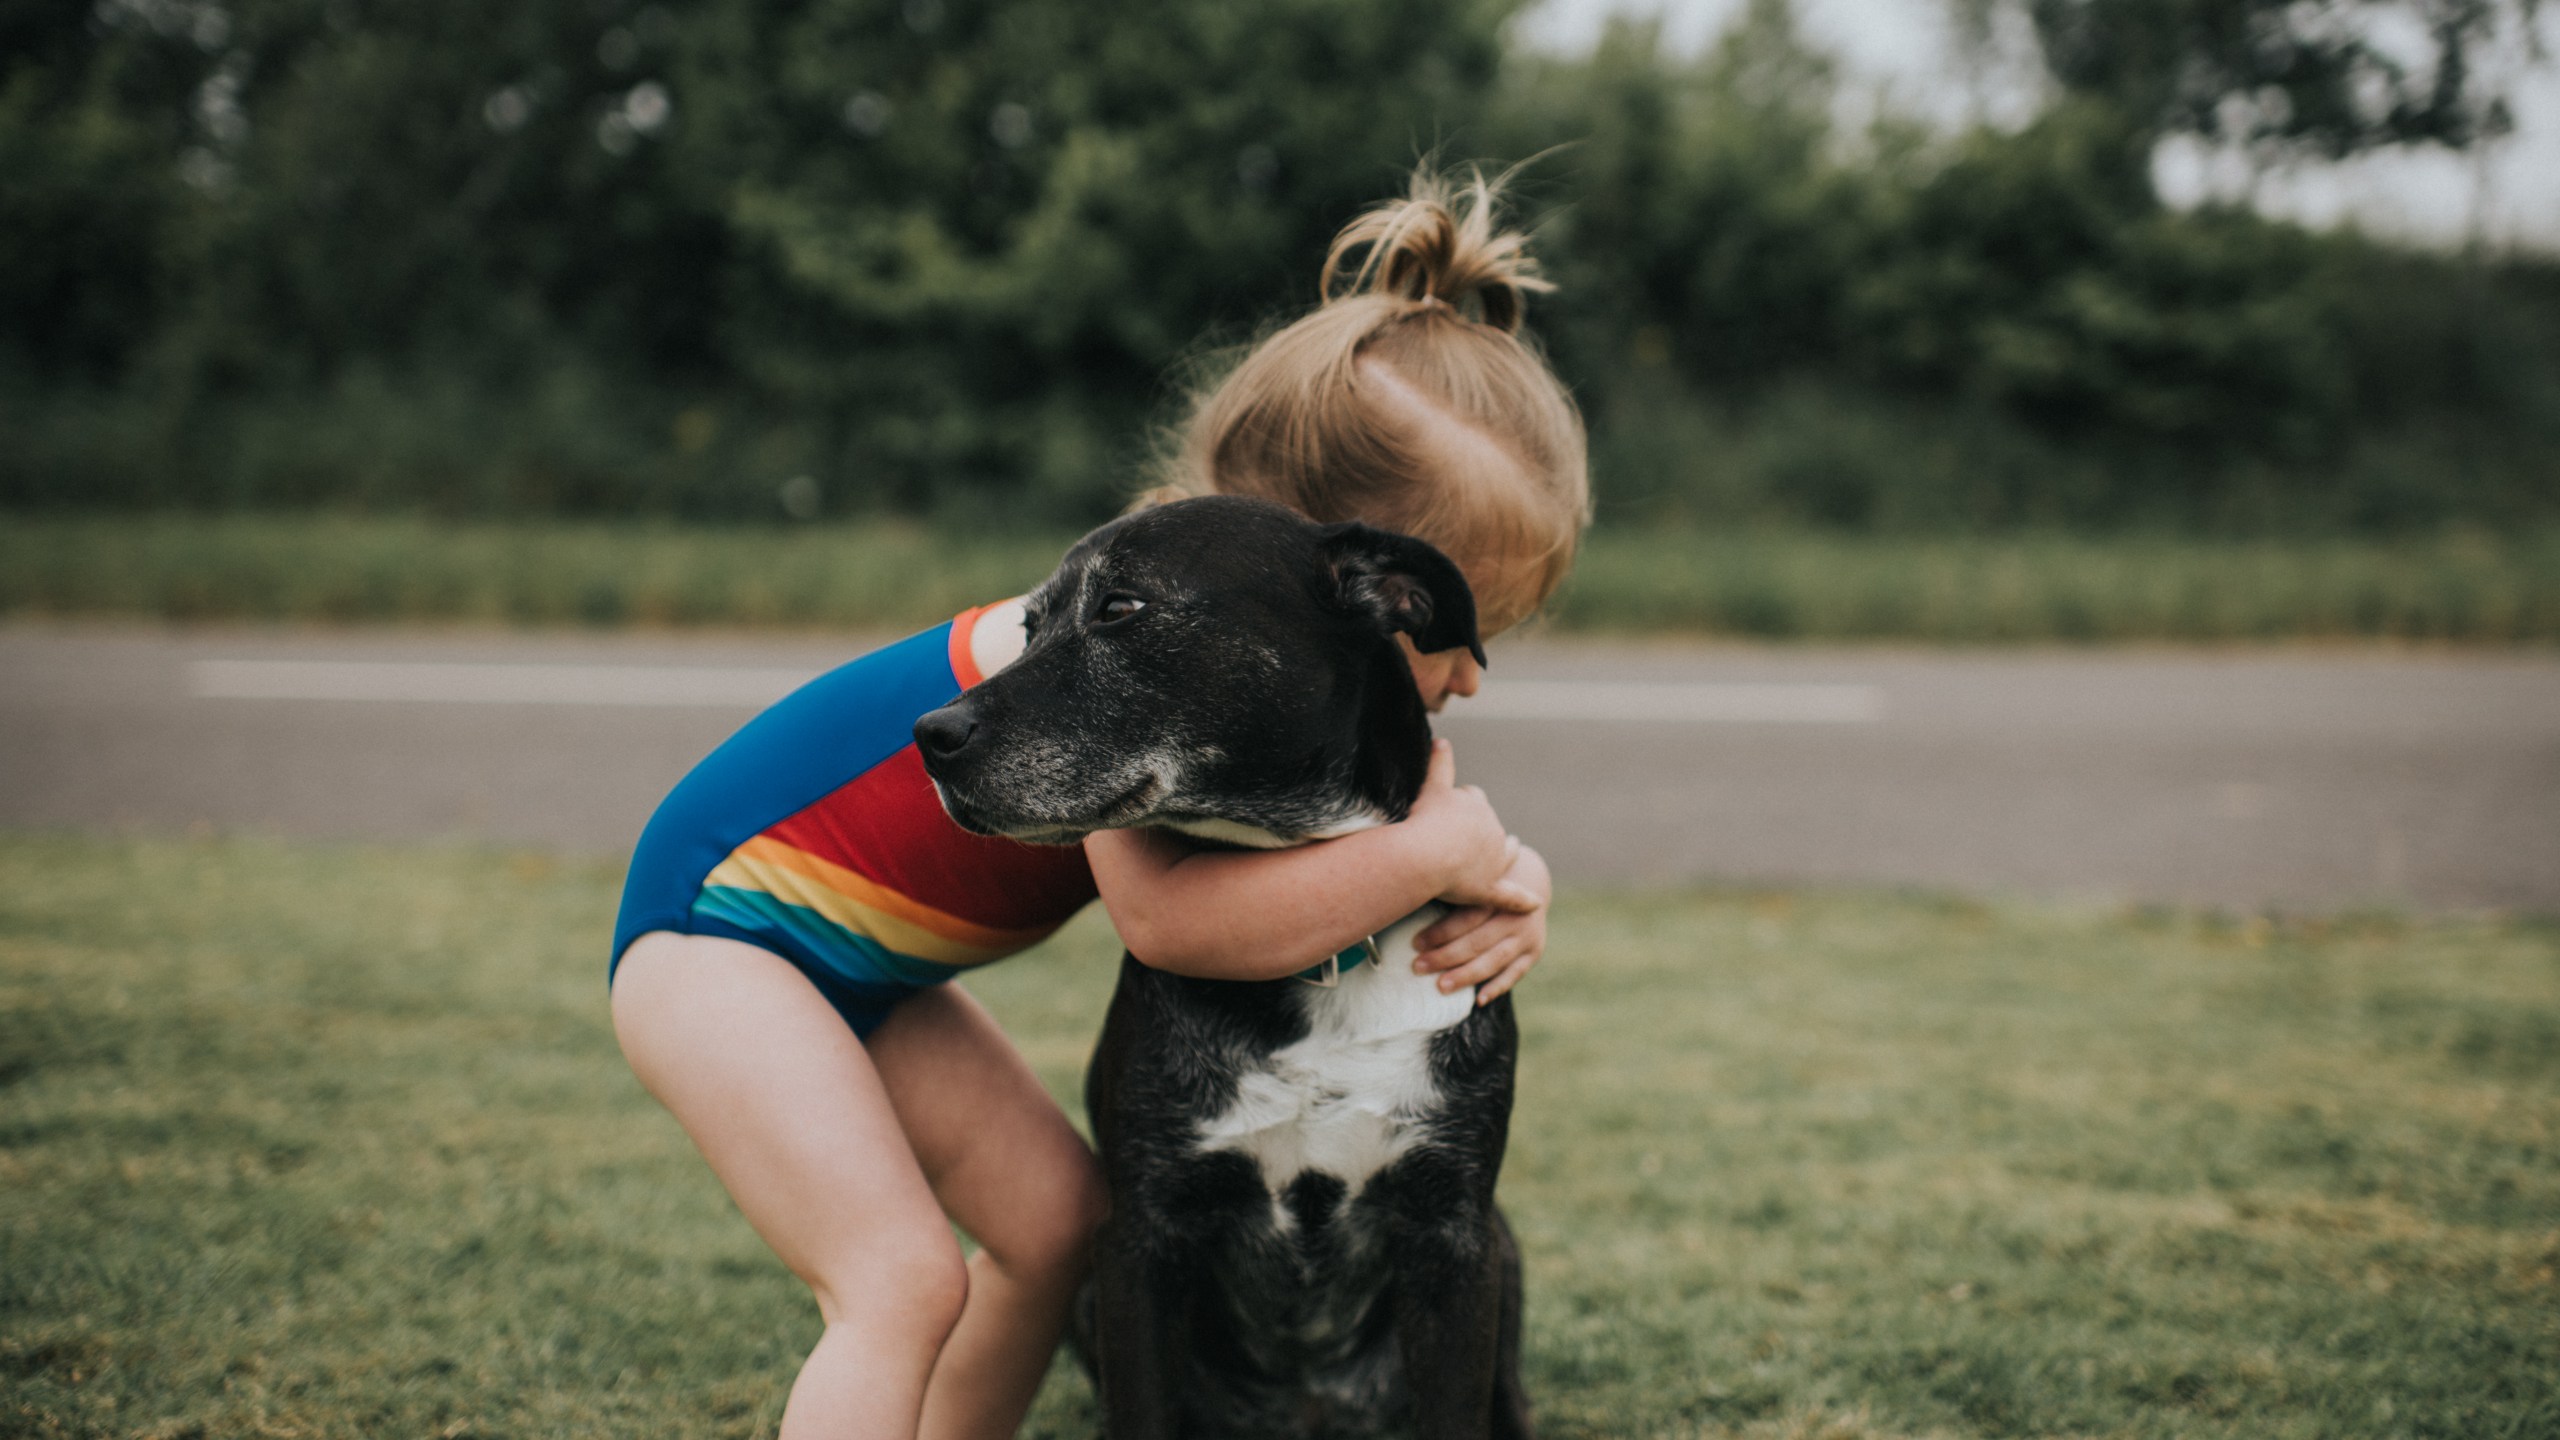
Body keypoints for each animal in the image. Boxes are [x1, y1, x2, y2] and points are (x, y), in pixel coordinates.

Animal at [916, 497, 1525, 1434]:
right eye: (1029, 627)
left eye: (1120, 608)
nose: (930, 734)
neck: (1320, 950)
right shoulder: (1139, 1242)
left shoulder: (1456, 1237)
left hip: (1507, 1252)